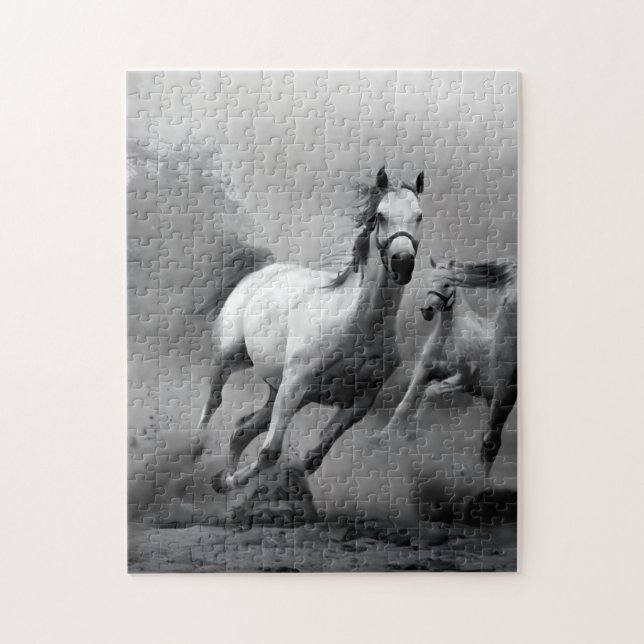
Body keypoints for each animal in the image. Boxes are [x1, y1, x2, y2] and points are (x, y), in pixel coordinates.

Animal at [197, 167, 425, 514]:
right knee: (214, 400)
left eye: (419, 216)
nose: (403, 262)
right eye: (381, 216)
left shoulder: (358, 403)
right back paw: (195, 450)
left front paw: (235, 483)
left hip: (276, 390)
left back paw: (221, 478)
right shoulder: (295, 385)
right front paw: (233, 482)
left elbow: (311, 459)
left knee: (241, 429)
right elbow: (269, 453)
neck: (357, 326)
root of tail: (260, 273)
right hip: (232, 358)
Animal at [388, 256, 517, 478]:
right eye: (430, 281)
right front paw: (381, 438)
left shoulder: (461, 381)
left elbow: (430, 392)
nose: (427, 311)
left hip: (502, 400)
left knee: (491, 443)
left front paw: (412, 433)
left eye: (447, 284)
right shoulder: (424, 370)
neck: (450, 337)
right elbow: (404, 405)